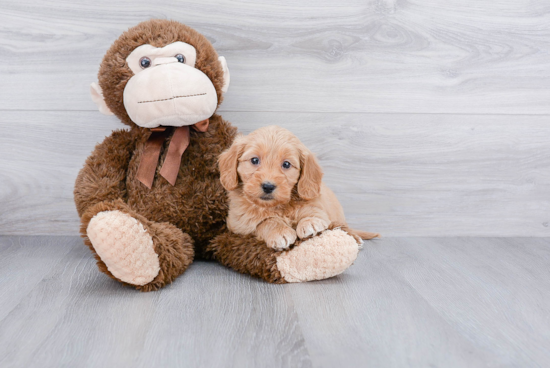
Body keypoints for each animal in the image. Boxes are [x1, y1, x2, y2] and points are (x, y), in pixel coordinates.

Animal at [219, 126, 380, 250]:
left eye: (286, 164)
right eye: (254, 160)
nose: (268, 186)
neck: (278, 207)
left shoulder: (317, 206)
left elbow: (313, 212)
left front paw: (310, 222)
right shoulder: (239, 223)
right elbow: (264, 221)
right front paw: (279, 230)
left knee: (341, 226)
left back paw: (354, 237)